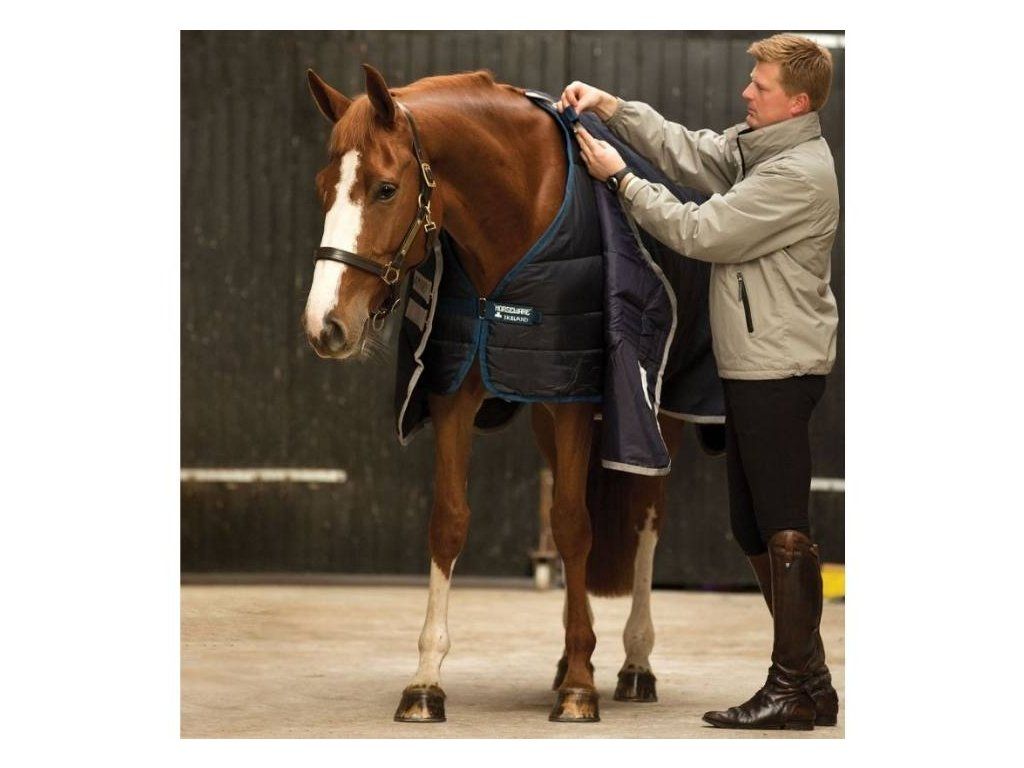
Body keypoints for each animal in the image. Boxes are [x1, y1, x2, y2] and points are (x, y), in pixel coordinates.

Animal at [302, 63, 688, 723]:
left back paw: (633, 663)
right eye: (326, 186)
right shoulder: (456, 392)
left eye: (385, 189)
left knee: (645, 520)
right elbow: (450, 522)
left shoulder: (576, 399)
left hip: (653, 422)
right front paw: (426, 681)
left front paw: (581, 688)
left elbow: (573, 525)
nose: (325, 325)